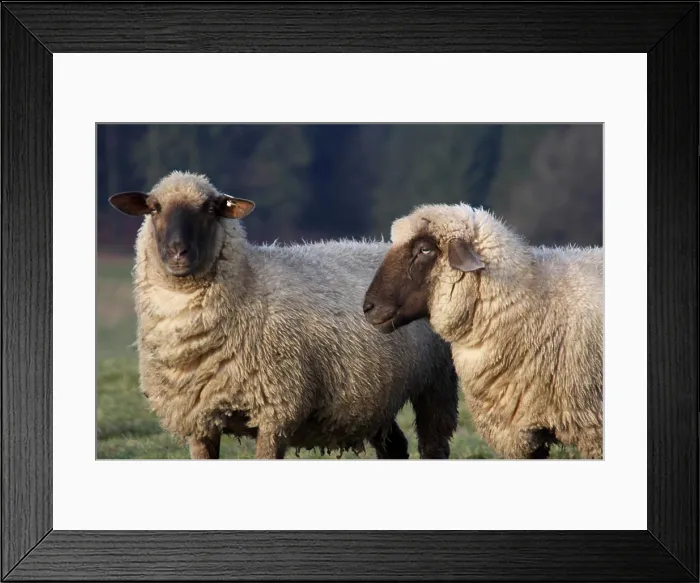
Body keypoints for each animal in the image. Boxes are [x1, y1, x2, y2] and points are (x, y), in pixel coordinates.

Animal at [108, 171, 459, 459]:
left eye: (211, 209)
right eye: (154, 208)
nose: (178, 252)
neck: (249, 284)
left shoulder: (276, 409)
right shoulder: (199, 419)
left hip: (437, 381)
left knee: (434, 446)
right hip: (375, 396)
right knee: (394, 446)